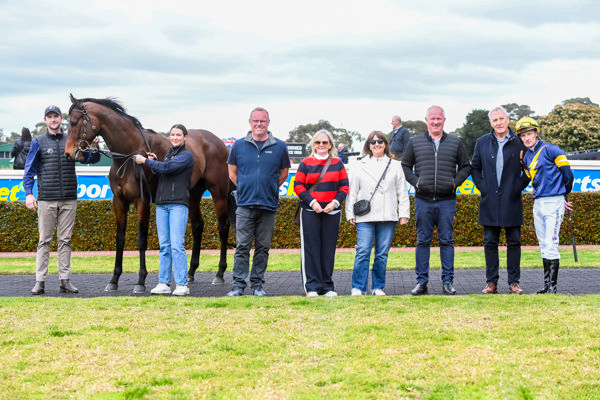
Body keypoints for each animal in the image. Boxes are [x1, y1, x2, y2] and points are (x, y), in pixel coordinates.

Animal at [65, 94, 234, 294]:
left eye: (74, 122)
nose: (68, 154)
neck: (128, 157)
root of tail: (220, 142)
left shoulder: (142, 201)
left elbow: (141, 239)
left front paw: (140, 281)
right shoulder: (119, 202)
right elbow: (120, 239)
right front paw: (114, 280)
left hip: (219, 192)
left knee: (223, 227)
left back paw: (219, 273)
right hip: (193, 194)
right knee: (197, 226)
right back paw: (191, 273)